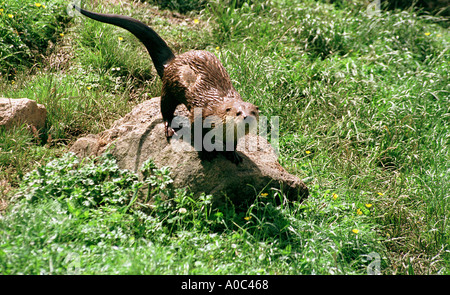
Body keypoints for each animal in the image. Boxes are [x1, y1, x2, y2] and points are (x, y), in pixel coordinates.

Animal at [73, 5, 256, 164]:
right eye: (238, 113)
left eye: (253, 112)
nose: (247, 118)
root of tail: (172, 63)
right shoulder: (199, 115)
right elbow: (197, 135)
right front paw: (205, 152)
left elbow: (233, 143)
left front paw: (233, 154)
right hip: (169, 88)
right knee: (165, 109)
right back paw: (169, 128)